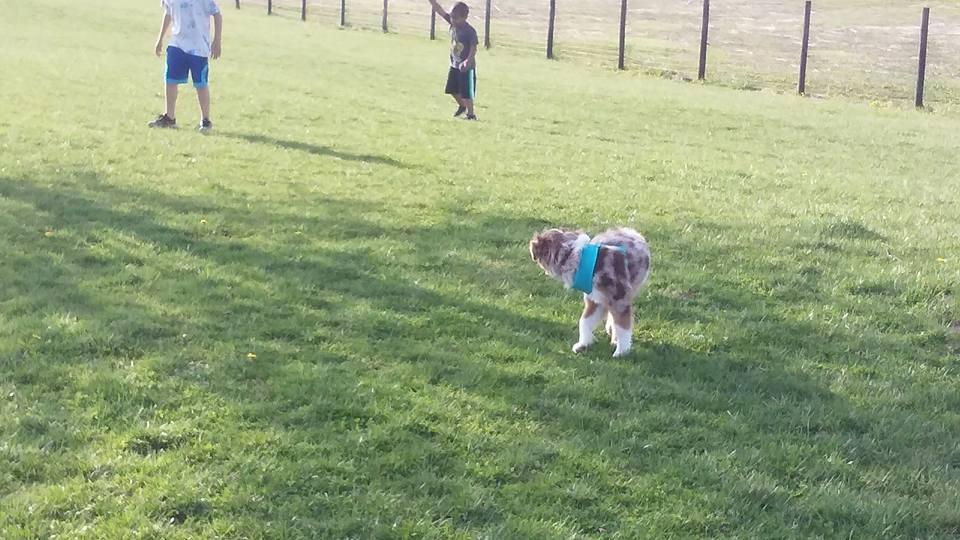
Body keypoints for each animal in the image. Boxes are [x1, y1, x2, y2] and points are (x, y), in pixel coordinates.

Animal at [528, 228, 648, 358]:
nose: (530, 246)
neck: (574, 256)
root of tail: (631, 231)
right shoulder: (595, 300)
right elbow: (584, 322)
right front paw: (583, 344)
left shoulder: (620, 299)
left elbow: (623, 327)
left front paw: (621, 351)